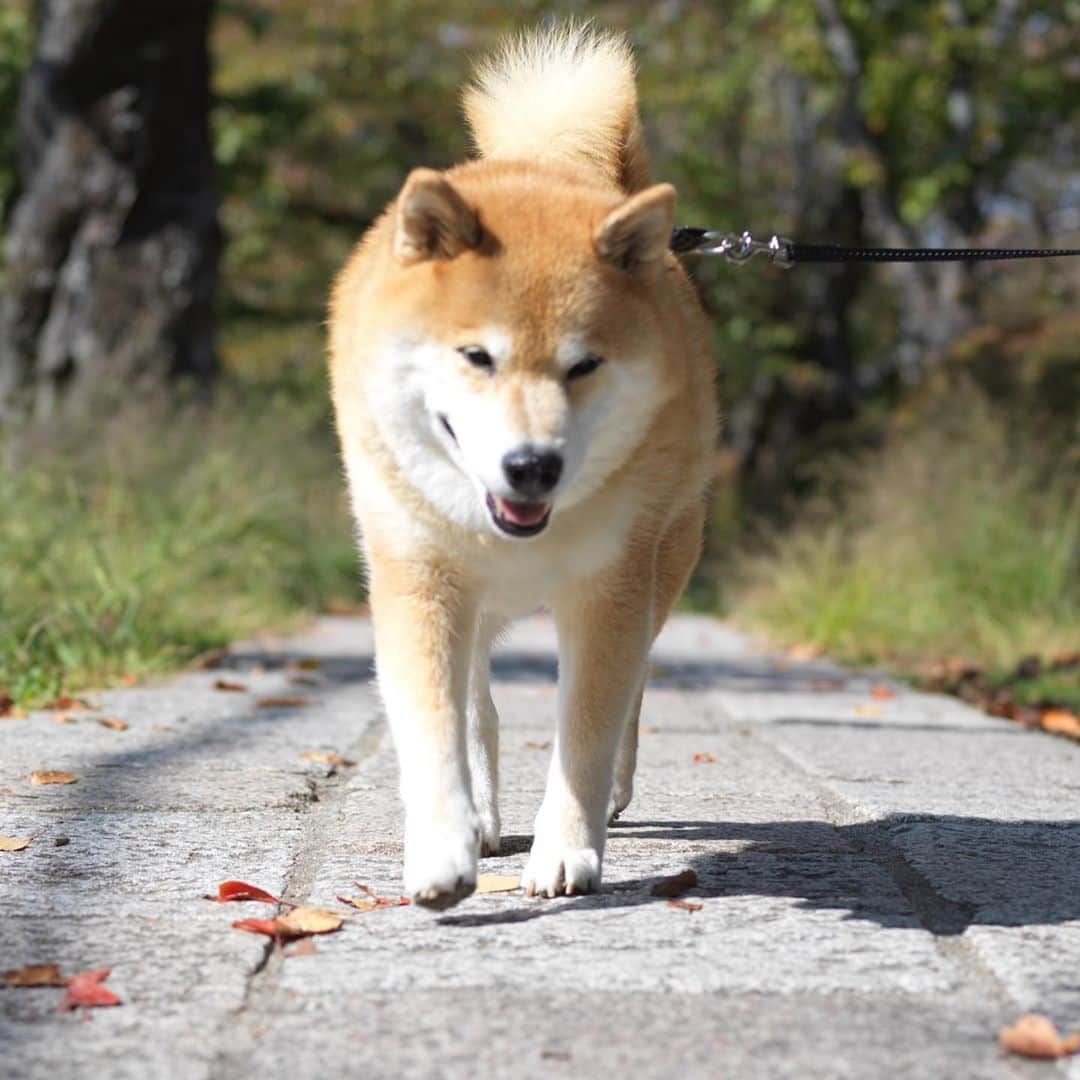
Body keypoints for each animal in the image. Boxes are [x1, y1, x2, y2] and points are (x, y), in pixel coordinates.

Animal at [328, 21, 717, 907]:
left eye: (585, 366)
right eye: (478, 356)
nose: (531, 467)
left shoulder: (610, 586)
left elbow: (586, 729)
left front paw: (568, 847)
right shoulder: (417, 574)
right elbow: (433, 722)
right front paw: (442, 848)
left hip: (665, 561)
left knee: (635, 685)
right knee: (478, 700)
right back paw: (480, 817)